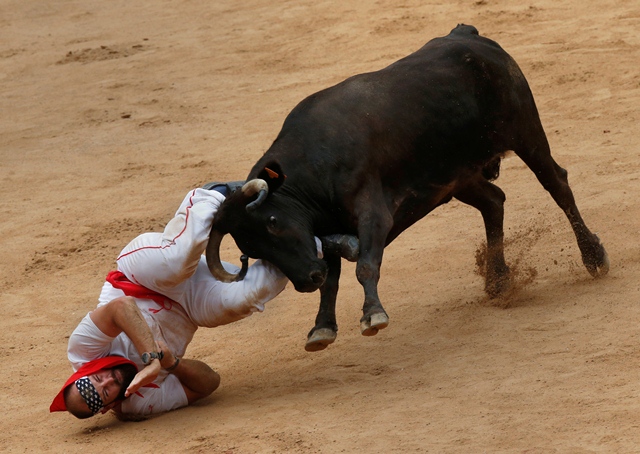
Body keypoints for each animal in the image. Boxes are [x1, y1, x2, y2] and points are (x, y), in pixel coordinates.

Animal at [206, 24, 608, 352]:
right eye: (249, 249)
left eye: (273, 221)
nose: (306, 280)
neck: (312, 166)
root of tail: (467, 35)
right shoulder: (322, 231)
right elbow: (332, 280)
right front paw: (322, 328)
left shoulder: (372, 215)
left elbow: (365, 265)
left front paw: (372, 315)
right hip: (456, 177)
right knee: (494, 201)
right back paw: (498, 280)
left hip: (526, 133)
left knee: (558, 185)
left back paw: (593, 257)